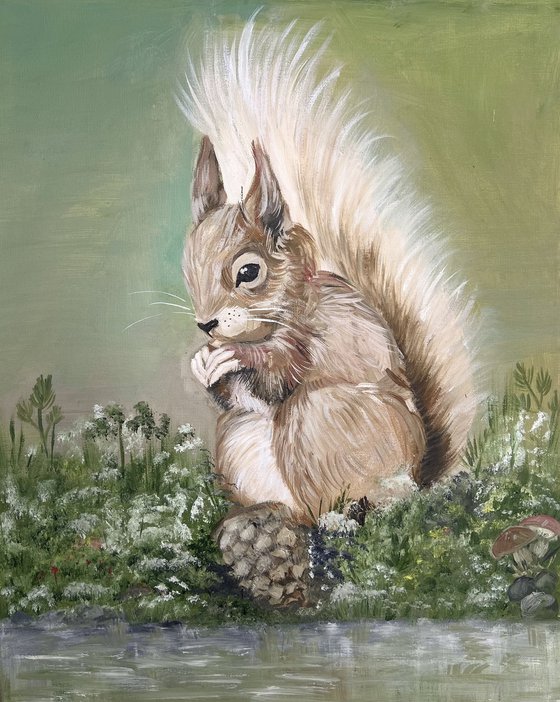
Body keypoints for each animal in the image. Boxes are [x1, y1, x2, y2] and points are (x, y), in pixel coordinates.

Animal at [178, 19, 479, 525]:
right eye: (186, 268)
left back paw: (342, 516)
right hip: (239, 439)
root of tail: (417, 472)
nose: (206, 324)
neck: (280, 310)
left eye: (248, 272)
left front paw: (237, 357)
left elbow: (282, 371)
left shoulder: (312, 336)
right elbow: (238, 394)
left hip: (325, 419)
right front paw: (204, 363)